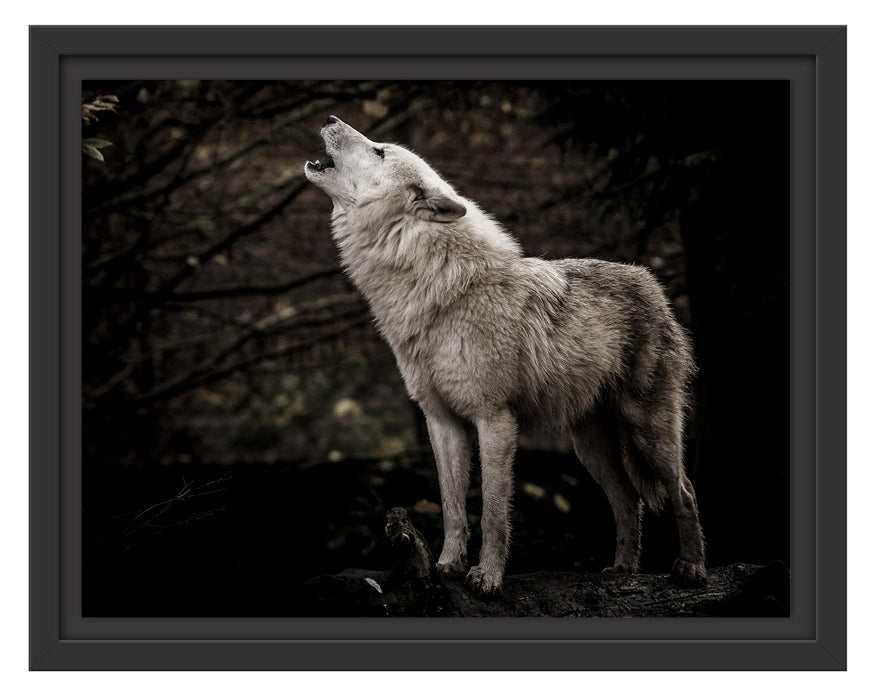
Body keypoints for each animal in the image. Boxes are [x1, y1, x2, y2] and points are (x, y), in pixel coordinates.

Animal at [305, 116, 706, 597]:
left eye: (380, 150)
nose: (330, 119)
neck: (438, 291)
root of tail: (651, 282)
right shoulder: (441, 421)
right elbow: (453, 507)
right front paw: (446, 566)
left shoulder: (494, 419)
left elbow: (494, 511)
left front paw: (487, 578)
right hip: (588, 446)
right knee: (628, 498)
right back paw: (623, 569)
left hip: (649, 431)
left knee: (684, 492)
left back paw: (692, 569)